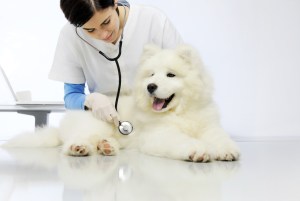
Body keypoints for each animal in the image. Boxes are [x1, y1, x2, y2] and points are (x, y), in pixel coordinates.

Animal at [2, 44, 239, 162]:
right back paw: (80, 148)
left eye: (171, 75)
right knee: (74, 141)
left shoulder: (209, 126)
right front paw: (197, 151)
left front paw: (227, 151)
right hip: (95, 124)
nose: (150, 86)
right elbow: (181, 140)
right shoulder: (160, 134)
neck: (180, 113)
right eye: (151, 74)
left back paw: (106, 147)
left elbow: (219, 138)